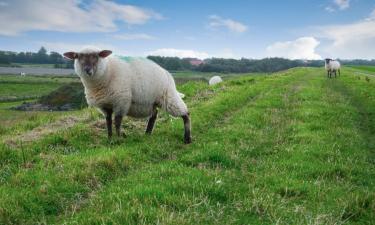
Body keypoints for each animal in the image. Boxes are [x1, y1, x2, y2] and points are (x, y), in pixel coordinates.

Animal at [63, 46, 192, 143]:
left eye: (96, 56)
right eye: (78, 57)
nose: (87, 70)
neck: (107, 72)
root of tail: (166, 73)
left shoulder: (121, 101)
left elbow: (117, 122)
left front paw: (119, 138)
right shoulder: (105, 106)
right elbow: (108, 122)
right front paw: (109, 138)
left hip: (168, 96)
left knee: (185, 113)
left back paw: (187, 138)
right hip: (152, 101)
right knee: (154, 115)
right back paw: (147, 133)